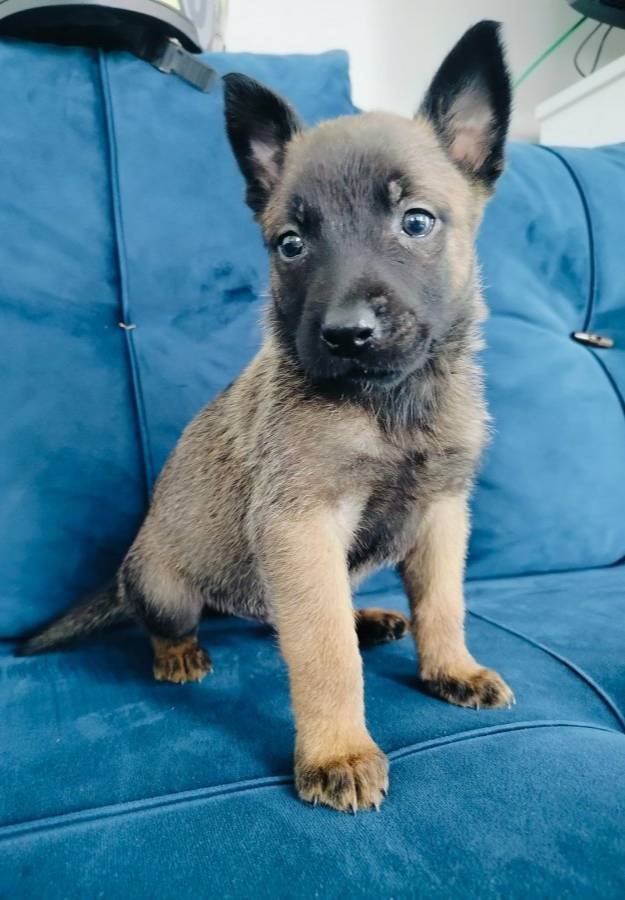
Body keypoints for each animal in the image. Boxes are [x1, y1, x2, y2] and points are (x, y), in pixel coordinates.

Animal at [19, 21, 514, 812]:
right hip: (166, 588)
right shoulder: (302, 525)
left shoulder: (440, 514)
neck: (390, 401)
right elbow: (322, 652)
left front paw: (450, 668)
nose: (346, 334)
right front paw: (337, 749)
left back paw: (365, 617)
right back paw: (180, 652)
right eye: (291, 244)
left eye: (416, 222)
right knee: (175, 623)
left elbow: (443, 603)